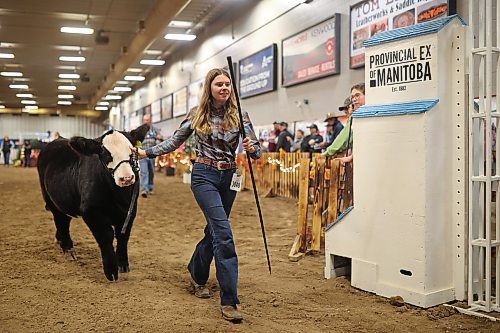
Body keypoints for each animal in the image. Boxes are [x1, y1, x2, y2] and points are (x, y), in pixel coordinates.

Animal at [37, 124, 148, 280]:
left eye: (132, 151)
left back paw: (60, 242)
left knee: (64, 219)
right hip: (49, 197)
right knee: (60, 219)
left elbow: (123, 235)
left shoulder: (130, 210)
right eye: (105, 153)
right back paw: (68, 248)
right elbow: (106, 236)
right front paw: (111, 270)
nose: (126, 178)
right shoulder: (91, 211)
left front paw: (123, 265)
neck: (117, 195)